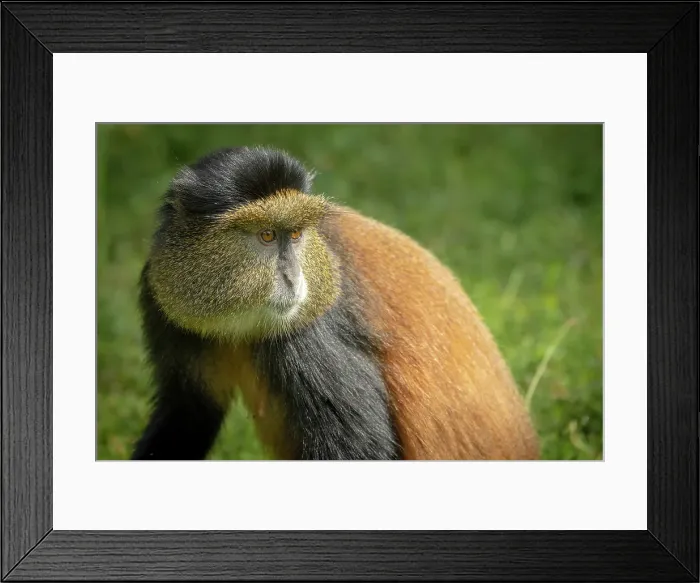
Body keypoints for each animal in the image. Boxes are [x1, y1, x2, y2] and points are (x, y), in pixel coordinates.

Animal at [130, 146, 539, 461]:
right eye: (267, 235)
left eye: (295, 235)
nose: (293, 279)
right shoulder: (165, 302)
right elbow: (189, 413)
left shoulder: (308, 334)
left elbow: (360, 448)